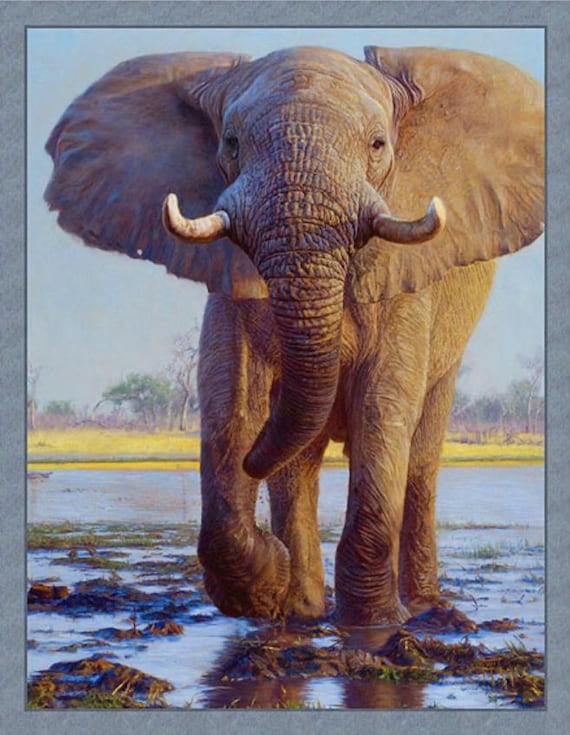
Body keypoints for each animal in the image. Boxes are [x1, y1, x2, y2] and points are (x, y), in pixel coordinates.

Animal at [44, 45, 544, 626]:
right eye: (231, 143)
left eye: (378, 145)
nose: (251, 462)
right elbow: (230, 397)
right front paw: (270, 583)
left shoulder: (407, 278)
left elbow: (382, 405)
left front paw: (373, 626)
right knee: (297, 463)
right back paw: (302, 610)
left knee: (419, 456)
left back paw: (424, 611)